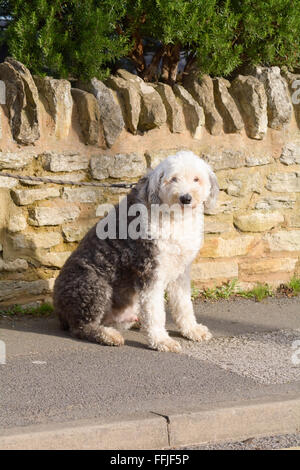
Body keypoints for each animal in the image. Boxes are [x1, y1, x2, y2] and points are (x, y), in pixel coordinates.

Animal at [53, 151, 218, 352]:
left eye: (196, 179)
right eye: (173, 179)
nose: (186, 198)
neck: (174, 218)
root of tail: (58, 308)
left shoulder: (180, 271)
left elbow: (183, 304)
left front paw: (192, 330)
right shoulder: (150, 272)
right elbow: (155, 312)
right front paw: (161, 340)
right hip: (93, 285)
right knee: (83, 327)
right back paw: (109, 336)